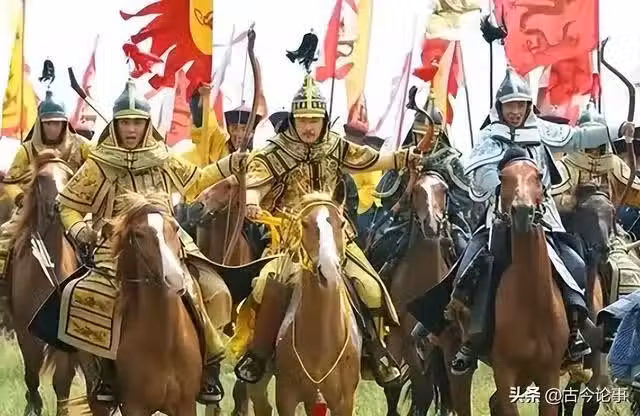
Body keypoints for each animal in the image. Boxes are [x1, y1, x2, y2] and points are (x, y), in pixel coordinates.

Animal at [7, 150, 79, 416]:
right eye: (41, 178)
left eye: (69, 176)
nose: (58, 205)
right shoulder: (23, 329)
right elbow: (32, 374)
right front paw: (33, 405)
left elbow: (62, 382)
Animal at [107, 193, 202, 415]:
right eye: (139, 234)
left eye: (175, 228)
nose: (175, 280)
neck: (165, 345)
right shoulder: (134, 406)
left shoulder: (186, 404)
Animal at [382, 171, 472, 416]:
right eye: (416, 191)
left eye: (444, 190)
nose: (432, 225)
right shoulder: (405, 341)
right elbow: (415, 389)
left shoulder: (448, 342)